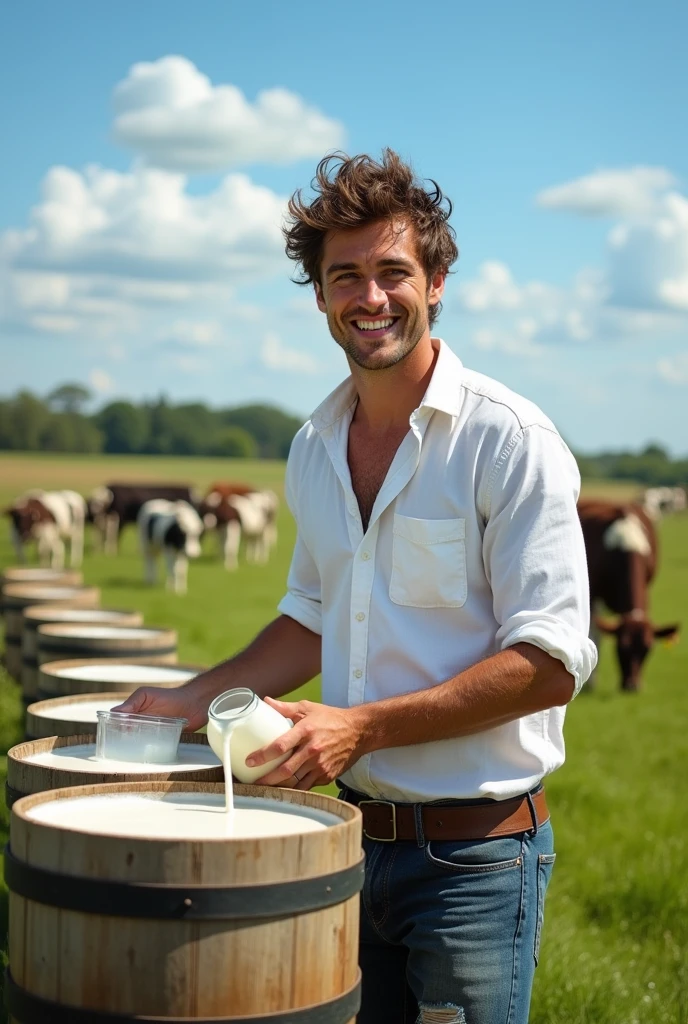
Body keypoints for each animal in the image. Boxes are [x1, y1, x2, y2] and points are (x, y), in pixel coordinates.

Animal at [577, 499, 679, 692]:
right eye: (621, 648)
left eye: (647, 649)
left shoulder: (646, 589)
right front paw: (591, 682)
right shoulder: (594, 596)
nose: (632, 686)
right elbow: (595, 635)